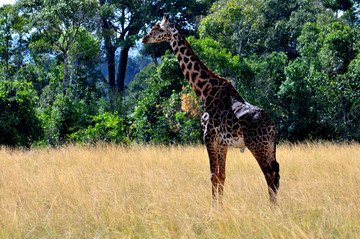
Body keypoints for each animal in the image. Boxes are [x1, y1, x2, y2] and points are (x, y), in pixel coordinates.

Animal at [142, 14, 280, 206]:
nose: (144, 38)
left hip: (257, 145)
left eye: (159, 28)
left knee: (269, 172)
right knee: (276, 171)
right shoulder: (223, 143)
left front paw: (213, 209)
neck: (205, 92)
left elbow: (213, 175)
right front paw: (220, 208)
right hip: (270, 146)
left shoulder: (209, 137)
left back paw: (272, 208)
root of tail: (272, 126)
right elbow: (222, 176)